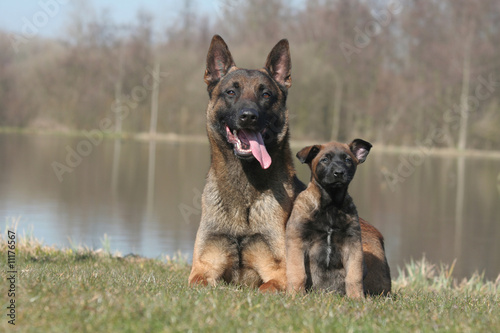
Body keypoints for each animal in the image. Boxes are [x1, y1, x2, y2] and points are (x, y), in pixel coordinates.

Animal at [188, 35, 302, 290]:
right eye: (231, 92)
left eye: (266, 95)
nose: (248, 116)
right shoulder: (202, 269)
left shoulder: (279, 276)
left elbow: (266, 287)